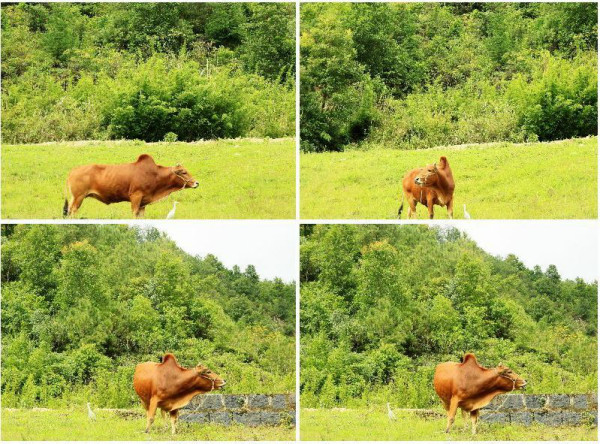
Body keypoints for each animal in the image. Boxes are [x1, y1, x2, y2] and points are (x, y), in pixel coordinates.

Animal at [64, 155, 198, 218]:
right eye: (184, 172)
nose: (197, 183)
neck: (155, 175)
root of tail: (72, 171)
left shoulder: (143, 203)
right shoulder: (135, 197)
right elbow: (134, 214)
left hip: (74, 198)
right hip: (79, 197)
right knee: (72, 211)